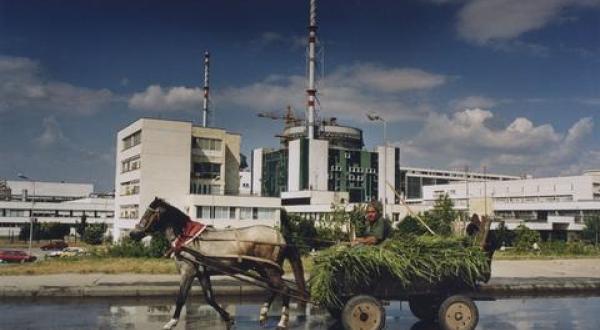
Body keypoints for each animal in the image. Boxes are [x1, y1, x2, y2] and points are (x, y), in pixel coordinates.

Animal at [129, 197, 308, 328]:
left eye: (148, 214)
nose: (132, 233)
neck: (186, 237)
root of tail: (280, 236)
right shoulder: (202, 272)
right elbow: (209, 298)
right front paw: (228, 318)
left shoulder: (188, 271)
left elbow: (181, 297)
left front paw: (171, 322)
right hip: (263, 270)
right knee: (274, 288)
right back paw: (263, 315)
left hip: (269, 269)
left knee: (284, 289)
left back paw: (282, 321)